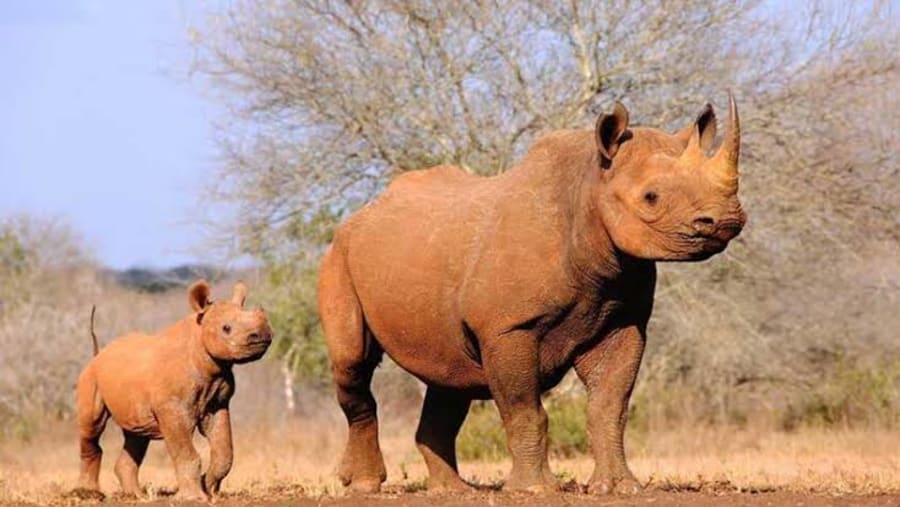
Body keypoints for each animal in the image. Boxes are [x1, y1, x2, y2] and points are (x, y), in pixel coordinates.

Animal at [318, 94, 746, 494]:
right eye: (651, 197)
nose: (724, 221)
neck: (589, 187)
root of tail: (362, 212)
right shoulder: (509, 327)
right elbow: (525, 408)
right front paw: (534, 489)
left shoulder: (623, 320)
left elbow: (609, 406)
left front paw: (619, 487)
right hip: (338, 256)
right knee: (354, 363)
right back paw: (363, 485)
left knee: (449, 375)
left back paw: (453, 490)